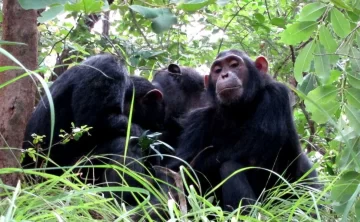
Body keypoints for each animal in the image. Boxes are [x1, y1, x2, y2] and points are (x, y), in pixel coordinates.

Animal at [170, 49, 320, 212]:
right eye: (218, 70)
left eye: (234, 65)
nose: (224, 75)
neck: (239, 110)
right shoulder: (196, 122)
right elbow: (176, 168)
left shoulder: (275, 96)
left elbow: (254, 148)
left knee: (230, 167)